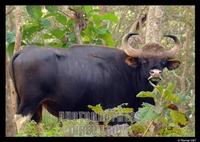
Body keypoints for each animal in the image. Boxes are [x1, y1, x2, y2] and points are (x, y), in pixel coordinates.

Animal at [9, 33, 181, 131]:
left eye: (163, 62)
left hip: (35, 104)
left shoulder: (102, 118)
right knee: (19, 122)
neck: (129, 73)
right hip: (29, 102)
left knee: (37, 124)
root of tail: (23, 52)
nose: (155, 73)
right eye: (144, 61)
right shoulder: (114, 117)